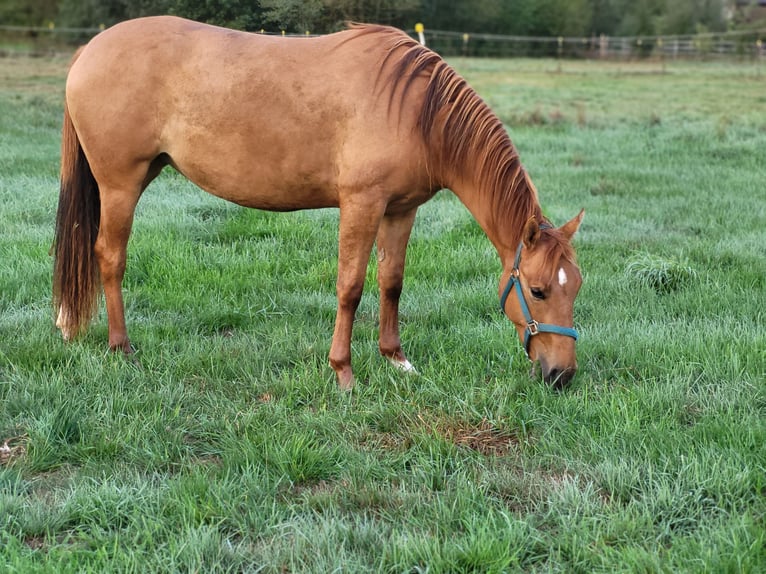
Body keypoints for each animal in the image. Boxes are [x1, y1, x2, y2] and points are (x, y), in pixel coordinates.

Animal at [53, 16, 584, 389]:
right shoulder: (362, 205)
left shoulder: (400, 209)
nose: (561, 375)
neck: (418, 112)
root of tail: (89, 51)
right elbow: (350, 287)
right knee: (109, 257)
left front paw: (396, 359)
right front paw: (343, 371)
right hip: (120, 184)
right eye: (537, 291)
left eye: (575, 287)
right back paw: (121, 348)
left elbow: (391, 282)